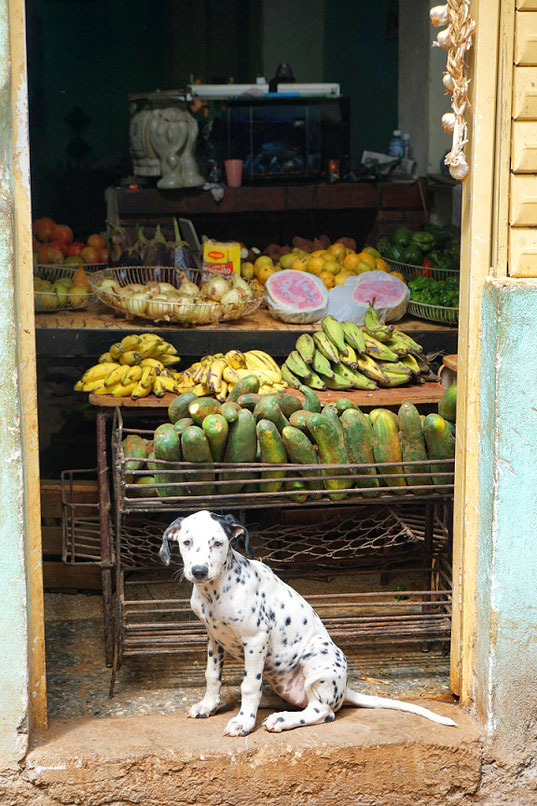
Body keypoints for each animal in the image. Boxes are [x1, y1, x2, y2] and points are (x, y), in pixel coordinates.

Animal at [160, 512, 456, 740]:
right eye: (186, 542)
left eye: (218, 543)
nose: (198, 571)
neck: (215, 591)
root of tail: (344, 689)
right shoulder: (213, 637)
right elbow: (212, 676)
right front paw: (208, 706)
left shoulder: (255, 639)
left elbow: (249, 685)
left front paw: (244, 722)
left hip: (318, 661)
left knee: (322, 711)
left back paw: (280, 719)